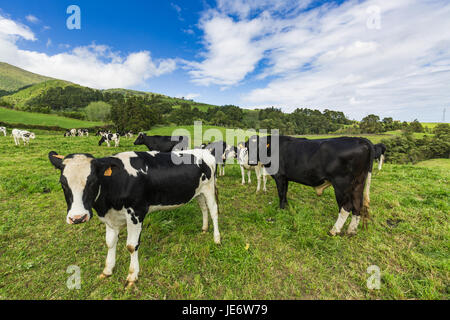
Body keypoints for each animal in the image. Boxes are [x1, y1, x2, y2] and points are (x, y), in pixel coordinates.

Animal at [48, 149, 221, 288]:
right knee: (203, 208)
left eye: (92, 181)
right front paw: (107, 270)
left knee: (213, 211)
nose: (77, 217)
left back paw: (217, 238)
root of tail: (204, 151)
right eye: (63, 183)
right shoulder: (111, 218)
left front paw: (132, 276)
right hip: (198, 192)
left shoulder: (136, 213)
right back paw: (204, 228)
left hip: (209, 188)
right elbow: (110, 243)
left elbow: (131, 246)